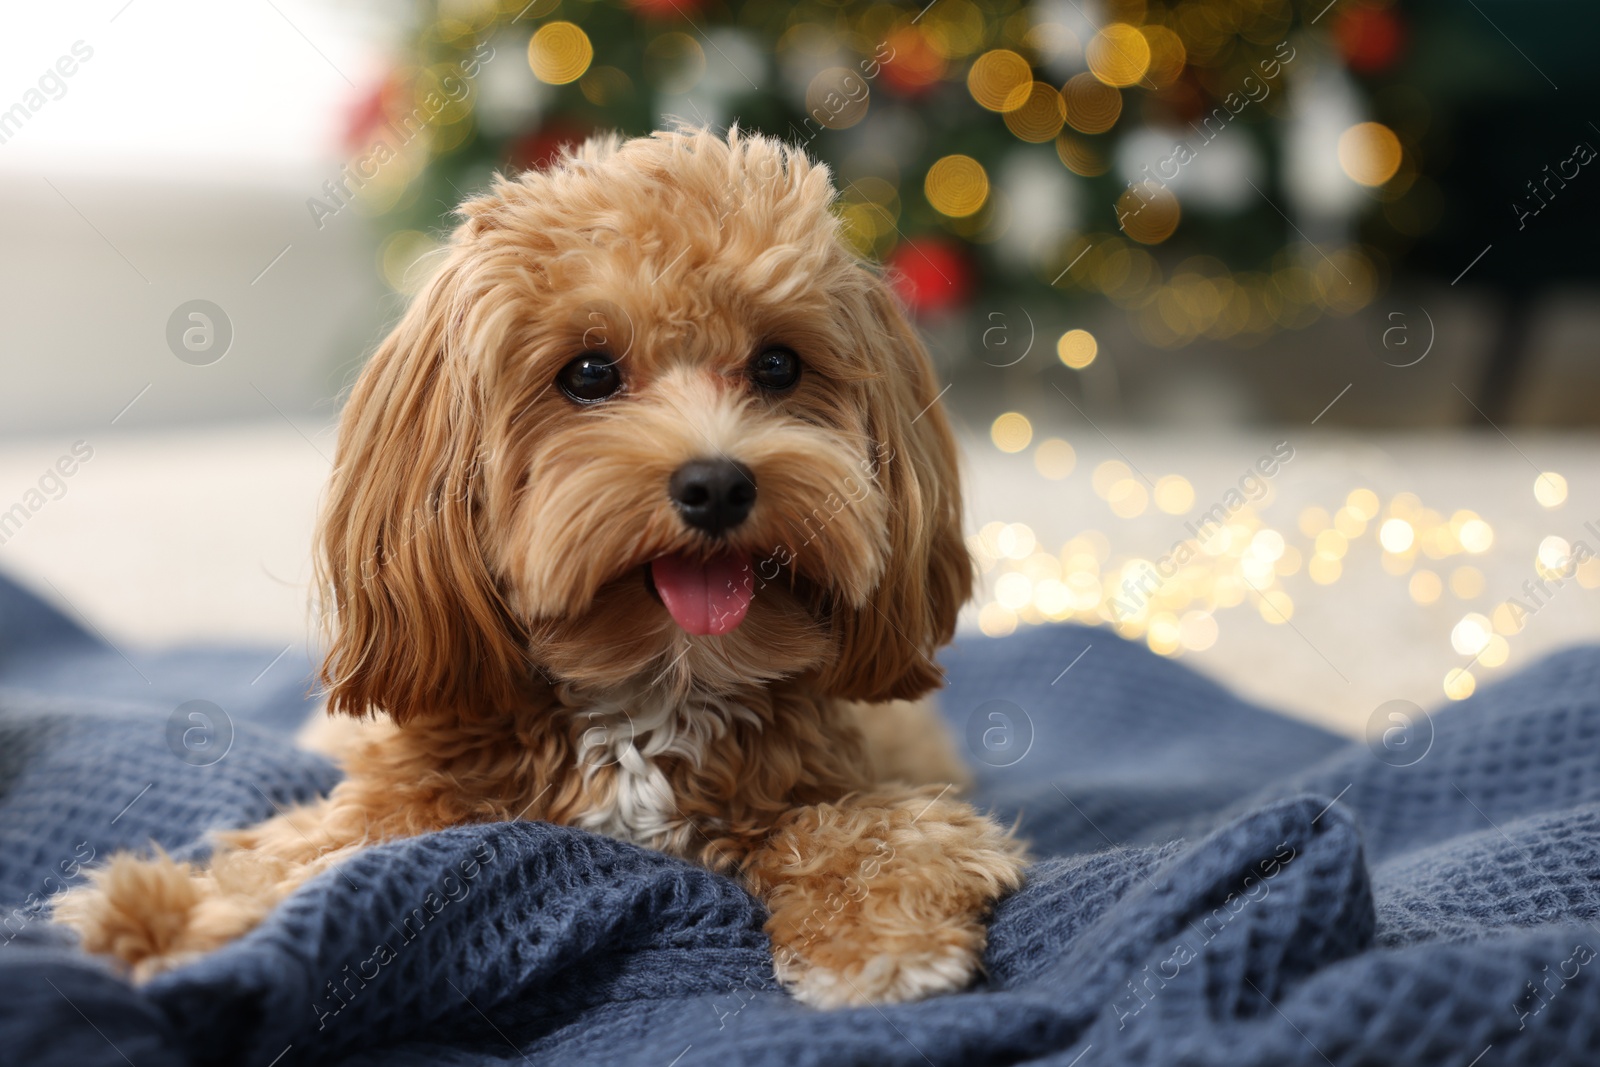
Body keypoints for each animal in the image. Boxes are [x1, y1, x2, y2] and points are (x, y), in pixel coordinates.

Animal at [56, 127, 1030, 1011]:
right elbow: (305, 856)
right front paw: (167, 917)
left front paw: (881, 939)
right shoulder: (411, 794)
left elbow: (881, 829)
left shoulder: (855, 779)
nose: (718, 483)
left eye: (779, 365)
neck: (650, 692)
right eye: (589, 373)